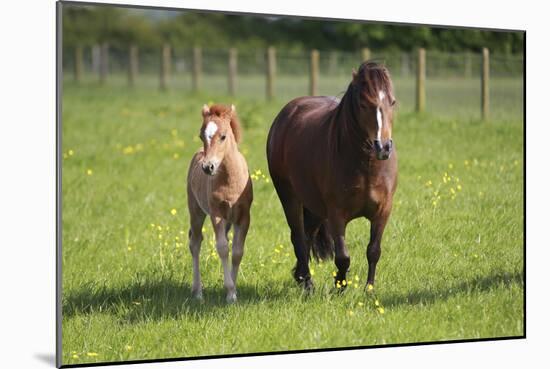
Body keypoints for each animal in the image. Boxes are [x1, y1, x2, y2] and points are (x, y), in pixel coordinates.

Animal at [187, 103, 253, 302]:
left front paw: (234, 290)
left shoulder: (243, 216)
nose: (208, 167)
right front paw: (230, 292)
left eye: (223, 136)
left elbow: (237, 251)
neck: (229, 181)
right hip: (196, 211)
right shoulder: (216, 214)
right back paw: (198, 292)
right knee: (195, 243)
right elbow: (223, 248)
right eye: (201, 135)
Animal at [266, 61, 396, 290]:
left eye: (393, 102)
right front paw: (340, 286)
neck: (367, 166)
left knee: (307, 236)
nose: (383, 147)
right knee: (298, 237)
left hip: (316, 207)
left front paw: (369, 289)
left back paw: (300, 277)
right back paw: (307, 284)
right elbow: (343, 256)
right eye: (363, 104)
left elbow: (374, 251)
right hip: (289, 197)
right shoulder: (337, 214)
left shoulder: (383, 211)